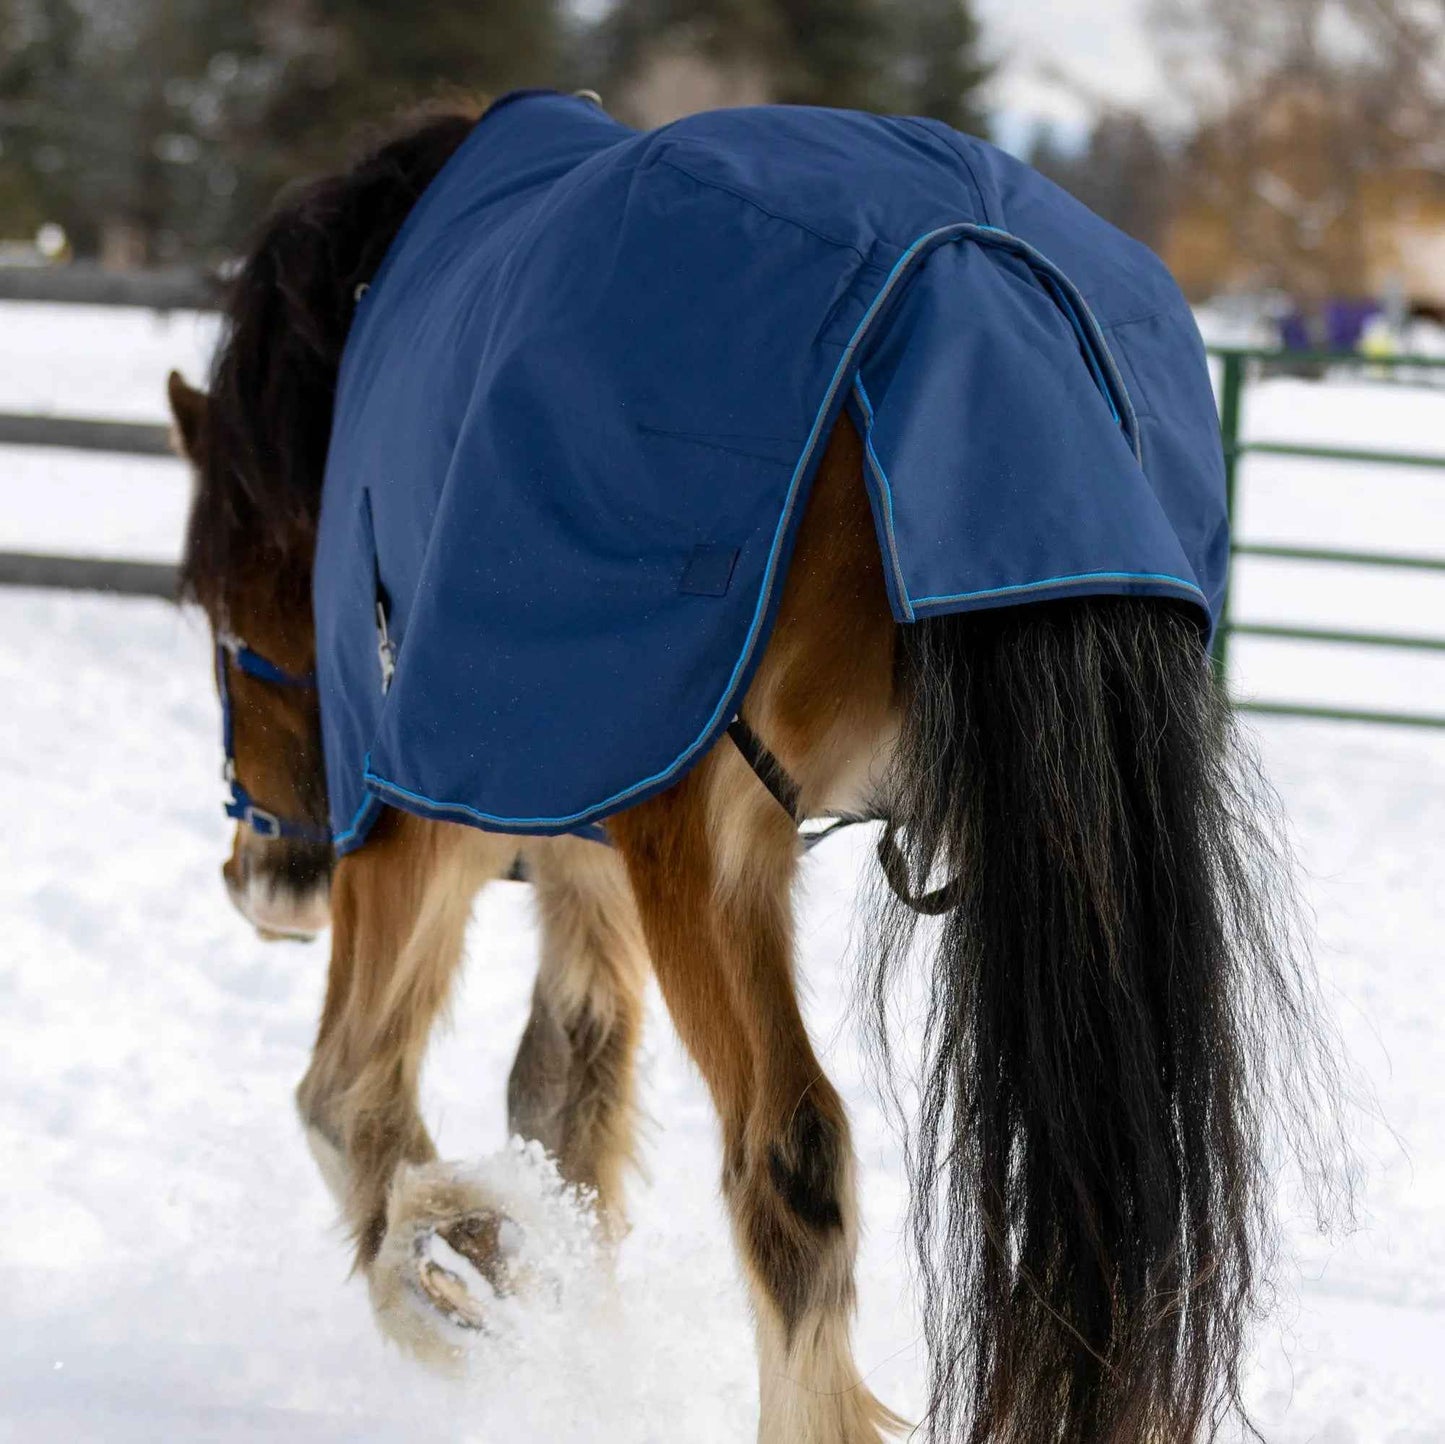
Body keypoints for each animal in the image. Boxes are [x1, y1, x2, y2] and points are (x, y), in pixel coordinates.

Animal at [169, 95, 1343, 1444]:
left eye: (225, 612)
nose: (269, 884)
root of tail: (982, 279)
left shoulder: (433, 808)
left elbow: (348, 1091)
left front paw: (456, 1268)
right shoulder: (583, 827)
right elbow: (564, 1094)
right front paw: (545, 1311)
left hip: (702, 850)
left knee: (786, 1153)